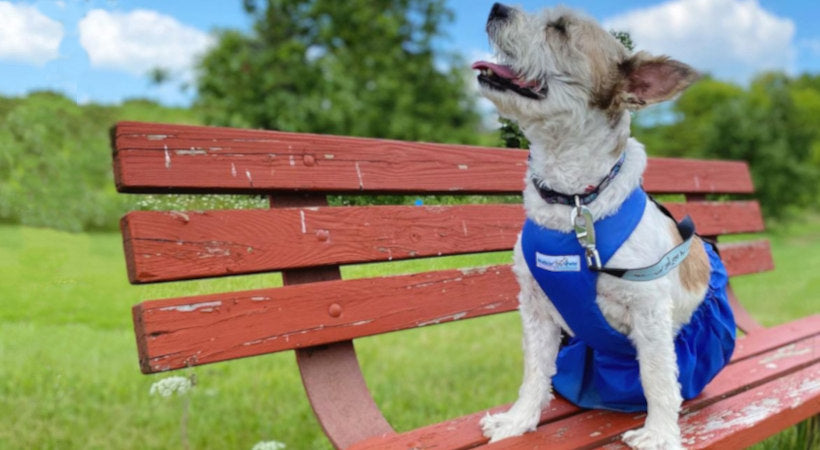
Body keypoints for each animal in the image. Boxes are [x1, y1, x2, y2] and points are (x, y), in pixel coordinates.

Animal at [474, 4, 736, 450]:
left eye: (560, 29)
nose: (497, 8)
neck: (574, 202)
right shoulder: (535, 307)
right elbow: (534, 372)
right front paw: (518, 421)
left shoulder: (650, 313)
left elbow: (657, 377)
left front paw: (660, 433)